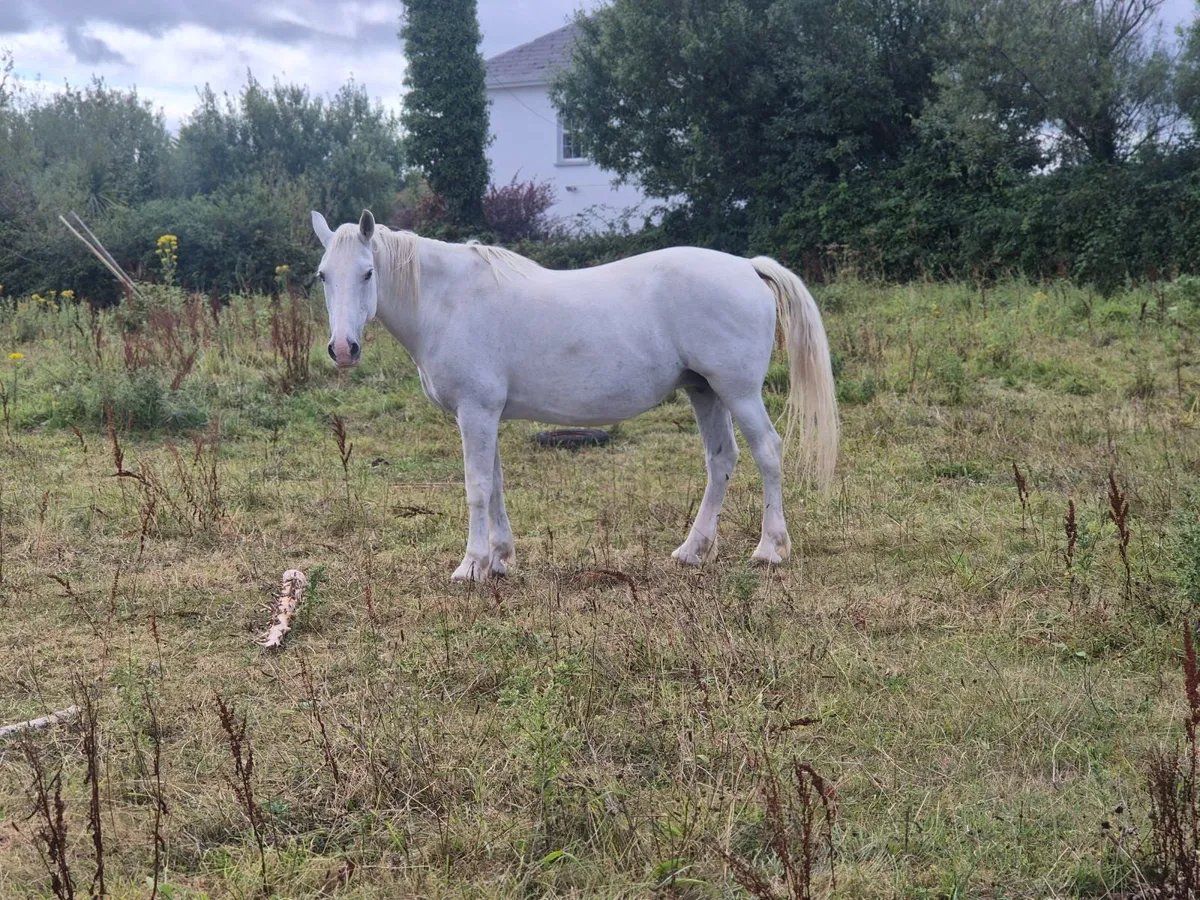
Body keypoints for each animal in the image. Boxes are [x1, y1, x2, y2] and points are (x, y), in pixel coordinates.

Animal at [312, 209, 839, 582]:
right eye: (322, 275)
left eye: (367, 273)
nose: (343, 349)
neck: (450, 302)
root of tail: (748, 267)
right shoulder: (487, 415)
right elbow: (496, 483)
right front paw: (500, 560)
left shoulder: (475, 412)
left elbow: (477, 486)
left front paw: (471, 565)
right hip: (704, 391)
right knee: (722, 459)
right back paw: (693, 550)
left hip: (738, 392)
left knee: (767, 451)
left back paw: (770, 549)